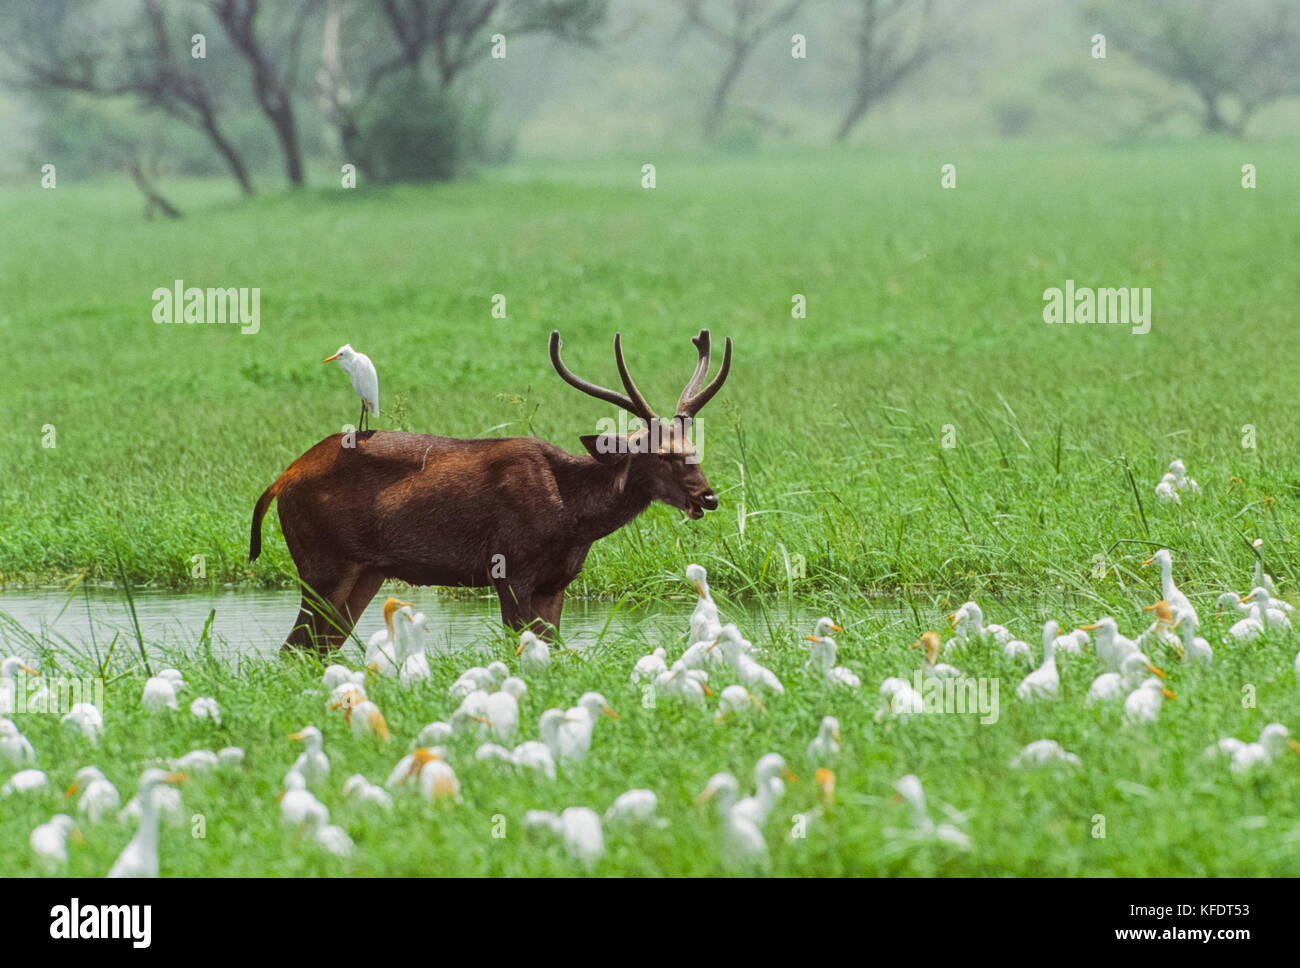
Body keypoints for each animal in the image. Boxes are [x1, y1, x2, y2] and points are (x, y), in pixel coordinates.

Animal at [245, 328, 733, 652]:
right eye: (663, 454)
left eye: (695, 447)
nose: (707, 497)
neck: (572, 516)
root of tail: (279, 480)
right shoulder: (509, 570)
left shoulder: (556, 583)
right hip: (322, 564)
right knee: (294, 649)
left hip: (365, 572)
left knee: (316, 650)